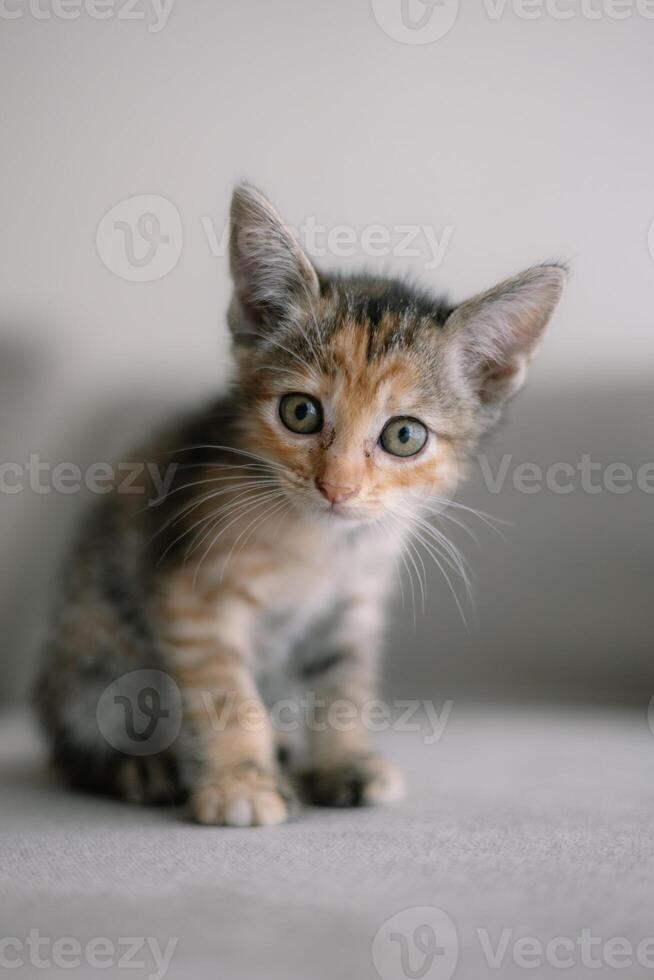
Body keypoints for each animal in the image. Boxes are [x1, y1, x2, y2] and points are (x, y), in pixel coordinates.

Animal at [37, 186, 568, 828]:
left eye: (404, 436)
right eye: (300, 412)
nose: (336, 487)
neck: (321, 546)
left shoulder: (353, 603)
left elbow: (343, 685)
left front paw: (343, 763)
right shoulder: (191, 593)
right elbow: (226, 695)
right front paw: (241, 782)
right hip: (94, 644)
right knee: (78, 736)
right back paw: (144, 768)